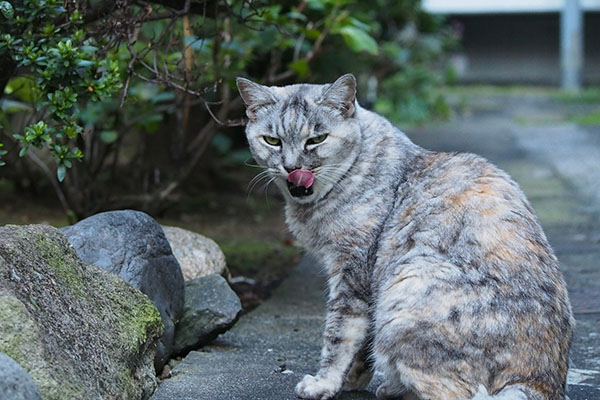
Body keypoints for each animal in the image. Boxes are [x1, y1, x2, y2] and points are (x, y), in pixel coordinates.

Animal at [234, 72, 572, 400]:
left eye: (316, 139)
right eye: (272, 141)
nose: (292, 167)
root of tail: (539, 381)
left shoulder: (352, 273)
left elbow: (339, 335)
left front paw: (324, 384)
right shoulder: (366, 284)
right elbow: (361, 342)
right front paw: (353, 379)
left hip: (406, 295)